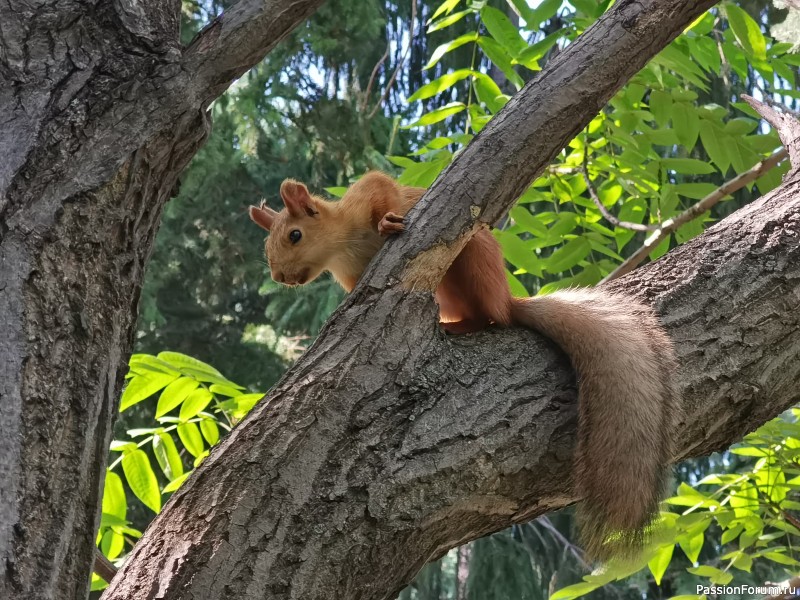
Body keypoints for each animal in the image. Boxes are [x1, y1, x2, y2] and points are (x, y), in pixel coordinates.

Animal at [248, 170, 676, 564]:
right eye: (268, 247)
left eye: (295, 235)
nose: (279, 276)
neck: (342, 246)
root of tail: (507, 299)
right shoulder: (352, 276)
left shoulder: (365, 194)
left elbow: (382, 190)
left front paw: (388, 221)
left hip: (473, 257)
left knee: (492, 319)